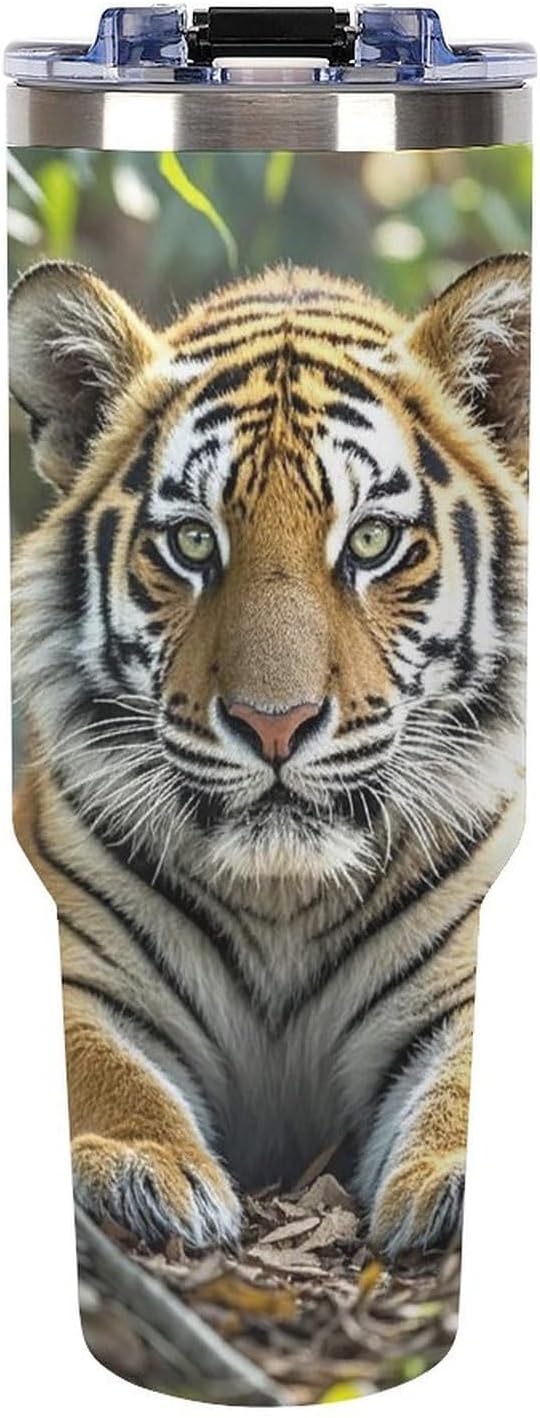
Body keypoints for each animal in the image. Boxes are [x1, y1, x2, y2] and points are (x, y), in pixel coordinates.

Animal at [9, 252, 529, 1260]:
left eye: (371, 540)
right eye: (192, 542)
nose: (275, 723)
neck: (283, 897)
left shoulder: (468, 980)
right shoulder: (74, 963)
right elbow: (97, 1065)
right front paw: (142, 1165)